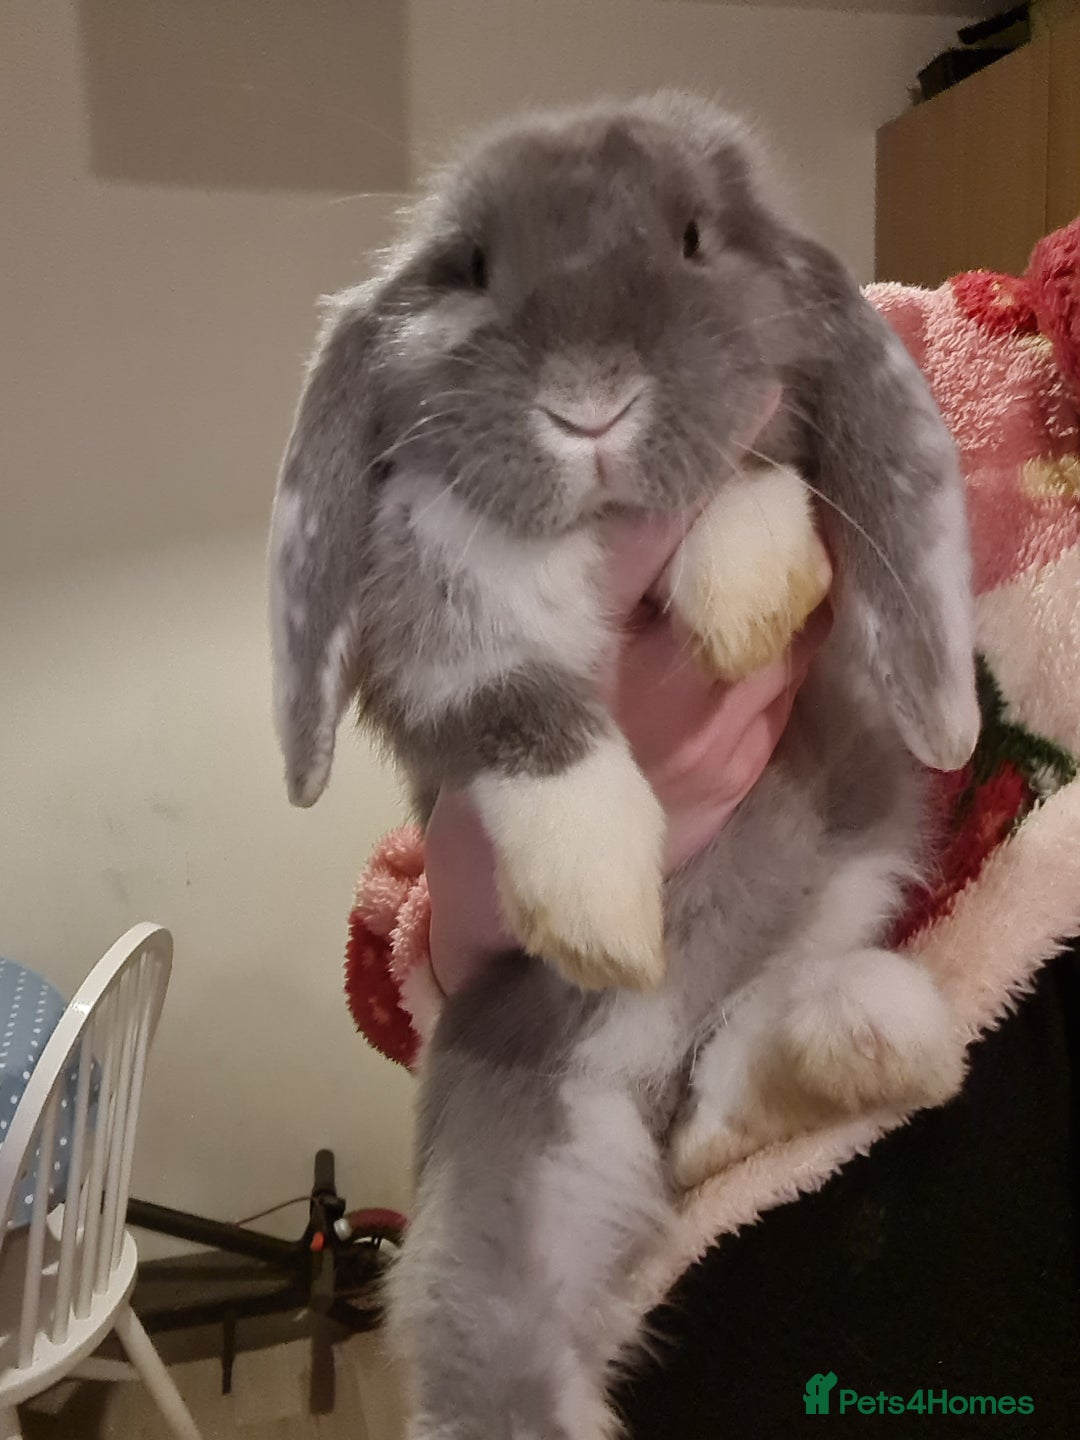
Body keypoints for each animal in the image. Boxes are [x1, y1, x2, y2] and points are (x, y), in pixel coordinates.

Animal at [269, 93, 979, 1440]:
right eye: (472, 266)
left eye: (696, 238)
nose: (589, 406)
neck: (598, 526)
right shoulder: (434, 619)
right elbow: (521, 712)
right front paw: (601, 904)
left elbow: (758, 480)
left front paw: (747, 596)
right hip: (515, 1187)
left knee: (739, 1094)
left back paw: (852, 1045)